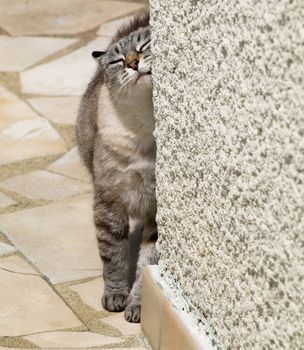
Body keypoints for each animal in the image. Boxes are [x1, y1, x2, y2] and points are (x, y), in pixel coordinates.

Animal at [76, 14, 158, 322]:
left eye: (144, 45)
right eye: (117, 61)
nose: (133, 63)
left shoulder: (156, 213)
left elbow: (147, 263)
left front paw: (137, 307)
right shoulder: (109, 202)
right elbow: (114, 255)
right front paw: (115, 296)